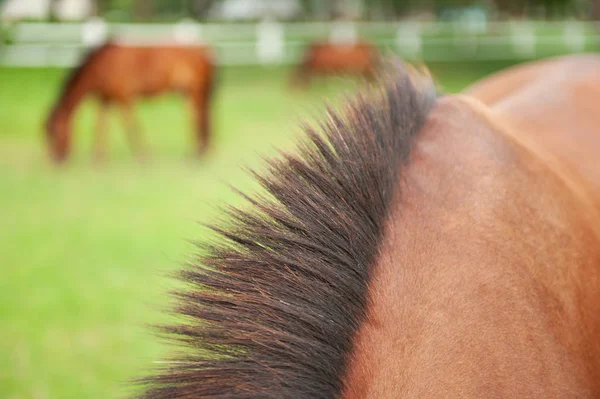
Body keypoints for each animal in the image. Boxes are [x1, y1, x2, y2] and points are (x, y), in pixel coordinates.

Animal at [45, 41, 217, 164]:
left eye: (54, 133)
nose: (56, 160)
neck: (103, 64)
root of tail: (204, 49)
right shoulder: (106, 100)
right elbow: (101, 125)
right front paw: (99, 159)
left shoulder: (124, 98)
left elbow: (130, 125)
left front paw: (143, 157)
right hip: (186, 93)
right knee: (197, 118)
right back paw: (198, 153)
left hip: (194, 91)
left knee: (197, 118)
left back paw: (195, 155)